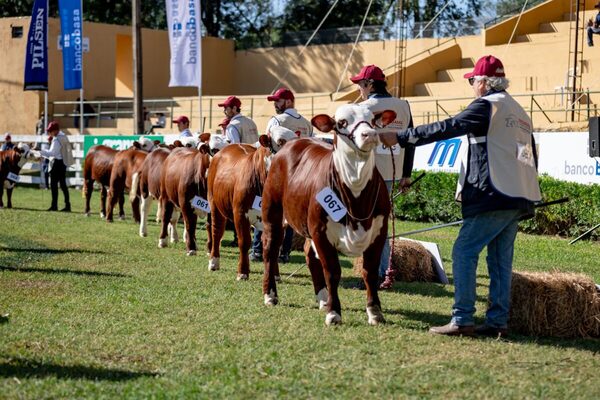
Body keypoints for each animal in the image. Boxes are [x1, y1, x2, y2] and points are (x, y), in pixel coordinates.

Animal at [207, 126, 296, 280]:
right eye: (280, 141)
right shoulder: (240, 213)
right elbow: (244, 242)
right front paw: (242, 272)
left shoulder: (280, 220)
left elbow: (275, 245)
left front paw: (275, 275)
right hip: (214, 203)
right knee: (216, 231)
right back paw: (214, 262)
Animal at [262, 104, 394, 326]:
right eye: (341, 122)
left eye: (372, 120)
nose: (370, 134)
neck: (356, 194)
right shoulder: (320, 232)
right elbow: (332, 272)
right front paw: (334, 313)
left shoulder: (379, 232)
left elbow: (370, 272)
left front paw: (375, 311)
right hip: (272, 213)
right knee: (270, 250)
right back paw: (270, 294)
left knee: (309, 254)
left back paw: (323, 298)